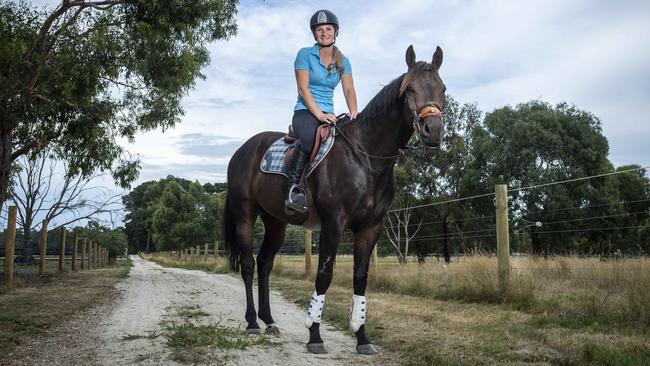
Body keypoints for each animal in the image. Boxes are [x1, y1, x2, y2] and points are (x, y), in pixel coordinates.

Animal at [224, 45, 446, 354]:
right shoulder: (334, 223)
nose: (433, 131)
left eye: (443, 89)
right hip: (245, 212)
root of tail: (243, 150)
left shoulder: (371, 228)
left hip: (276, 222)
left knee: (265, 264)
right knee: (247, 264)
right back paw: (253, 322)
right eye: (411, 89)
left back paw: (268, 321)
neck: (366, 157)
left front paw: (362, 337)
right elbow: (324, 274)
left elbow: (360, 278)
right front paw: (315, 335)